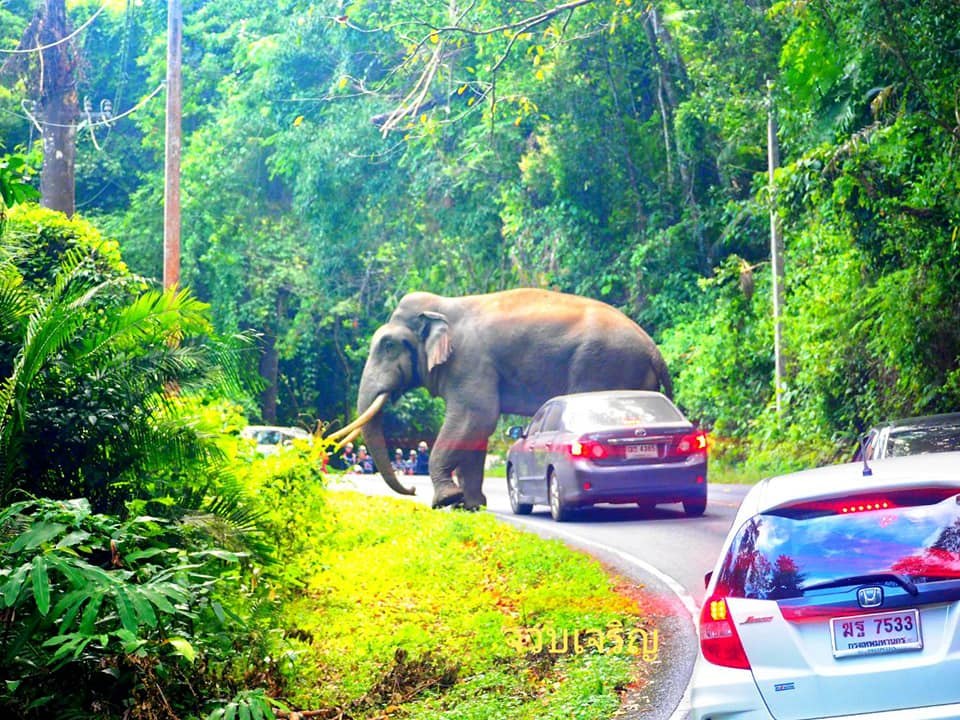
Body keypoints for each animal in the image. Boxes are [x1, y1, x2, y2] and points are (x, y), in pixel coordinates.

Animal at [334, 288, 673, 510]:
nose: (413, 488)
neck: (444, 307)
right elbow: (475, 429)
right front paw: (470, 506)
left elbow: (476, 418)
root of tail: (654, 349)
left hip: (604, 365)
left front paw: (446, 501)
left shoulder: (470, 361)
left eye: (389, 345)